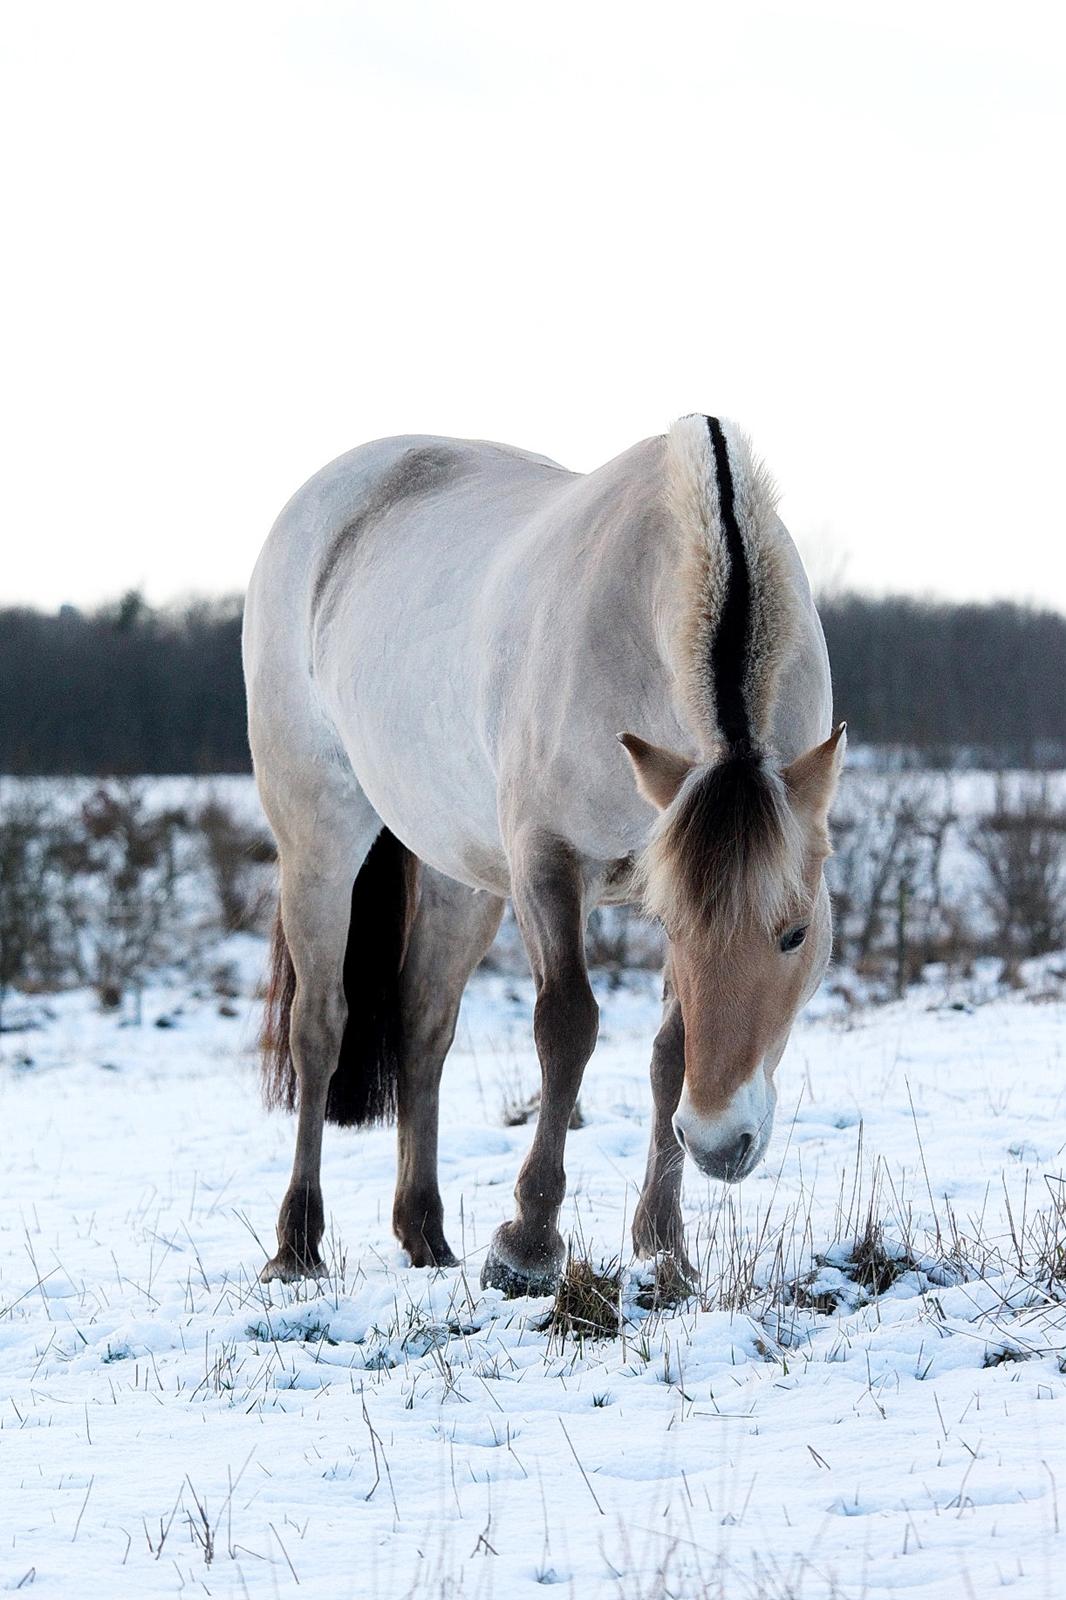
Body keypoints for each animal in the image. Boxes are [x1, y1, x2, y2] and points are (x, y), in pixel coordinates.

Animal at [240, 416, 838, 1299]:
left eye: (795, 934)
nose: (718, 1143)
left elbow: (669, 1052)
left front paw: (665, 1248)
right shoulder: (546, 863)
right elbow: (567, 1027)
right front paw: (527, 1244)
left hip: (460, 880)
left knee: (423, 1025)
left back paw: (425, 1232)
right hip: (319, 839)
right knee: (319, 1025)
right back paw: (298, 1243)